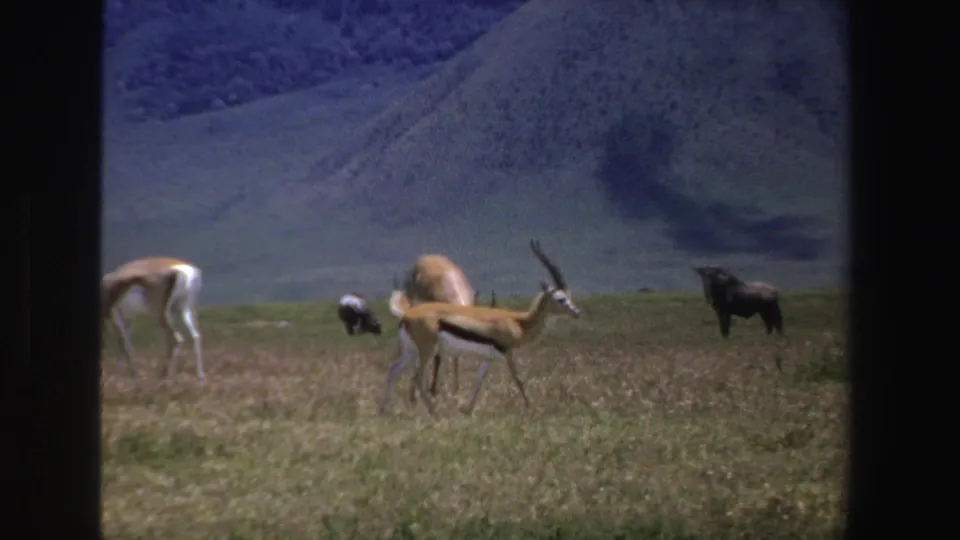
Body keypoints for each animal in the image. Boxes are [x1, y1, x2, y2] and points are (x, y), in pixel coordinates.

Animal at [380, 239, 582, 417]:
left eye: (569, 294)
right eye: (560, 299)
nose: (577, 313)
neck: (518, 322)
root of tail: (406, 315)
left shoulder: (488, 359)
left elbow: (478, 382)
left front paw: (467, 410)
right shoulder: (507, 355)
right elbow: (518, 380)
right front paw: (530, 408)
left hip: (412, 351)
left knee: (393, 369)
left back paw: (383, 410)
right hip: (427, 351)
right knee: (417, 377)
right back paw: (433, 412)